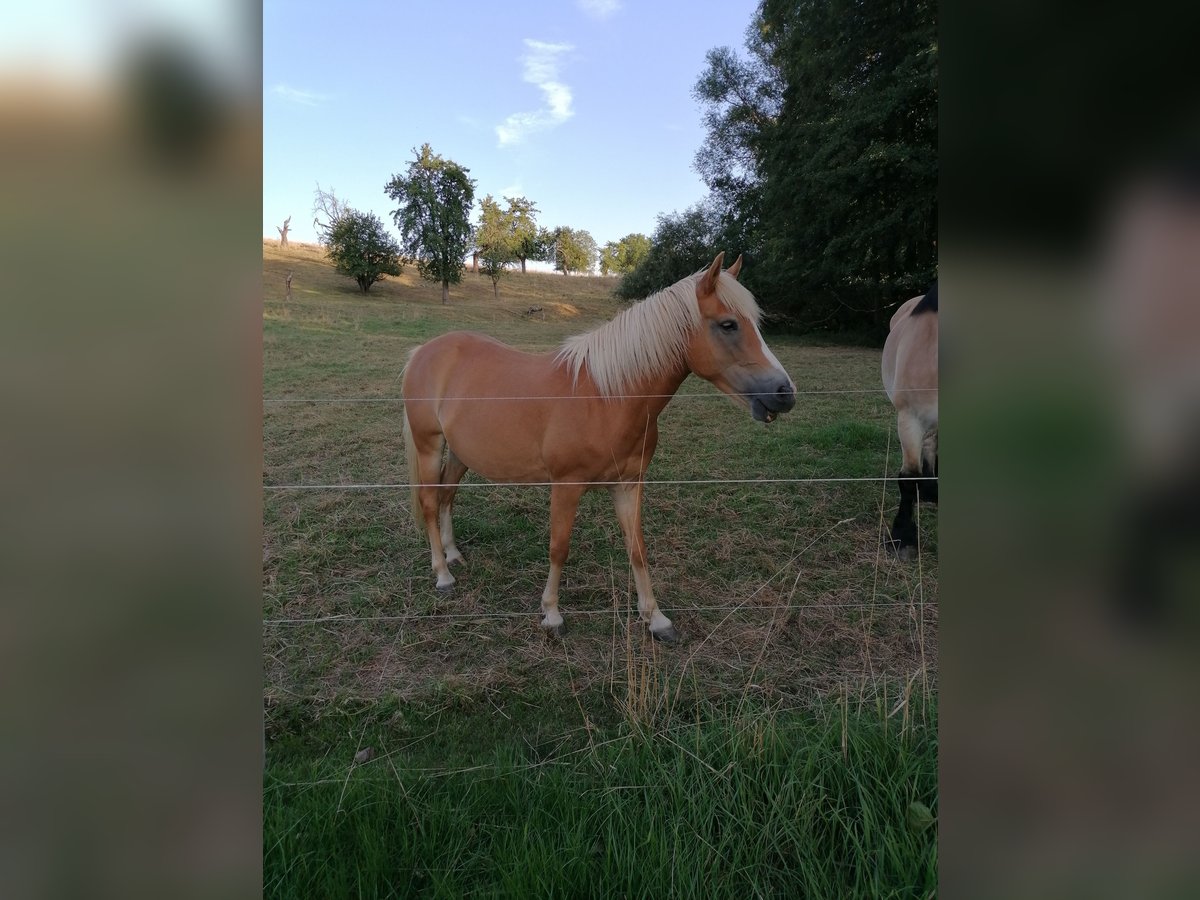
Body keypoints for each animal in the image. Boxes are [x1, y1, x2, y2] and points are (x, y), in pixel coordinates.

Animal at [403, 252, 796, 643]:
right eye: (729, 325)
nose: (784, 393)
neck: (608, 397)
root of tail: (424, 350)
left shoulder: (628, 485)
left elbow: (637, 549)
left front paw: (656, 619)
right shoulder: (566, 486)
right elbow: (559, 547)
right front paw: (552, 614)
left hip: (460, 452)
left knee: (447, 495)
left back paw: (453, 554)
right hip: (429, 446)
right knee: (429, 501)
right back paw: (443, 574)